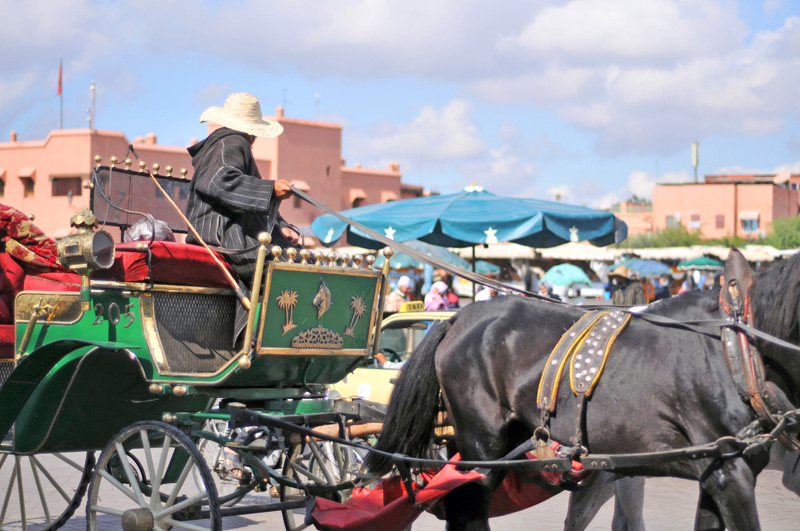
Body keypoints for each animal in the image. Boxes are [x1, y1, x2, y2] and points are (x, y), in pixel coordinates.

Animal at [368, 250, 800, 531]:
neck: (737, 351)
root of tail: (458, 317)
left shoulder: (715, 471)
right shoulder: (729, 471)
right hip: (482, 442)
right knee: (468, 507)